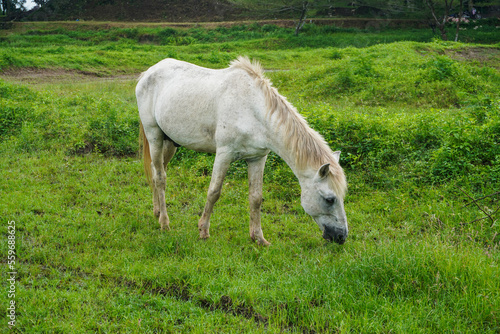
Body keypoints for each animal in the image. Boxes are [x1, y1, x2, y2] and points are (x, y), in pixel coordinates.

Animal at [137, 56, 348, 245]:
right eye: (330, 199)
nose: (341, 237)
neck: (253, 110)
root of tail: (147, 73)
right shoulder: (224, 154)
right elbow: (214, 192)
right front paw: (203, 230)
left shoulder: (257, 158)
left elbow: (256, 198)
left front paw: (259, 238)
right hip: (154, 136)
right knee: (160, 178)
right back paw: (164, 223)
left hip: (170, 142)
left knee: (156, 171)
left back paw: (157, 212)